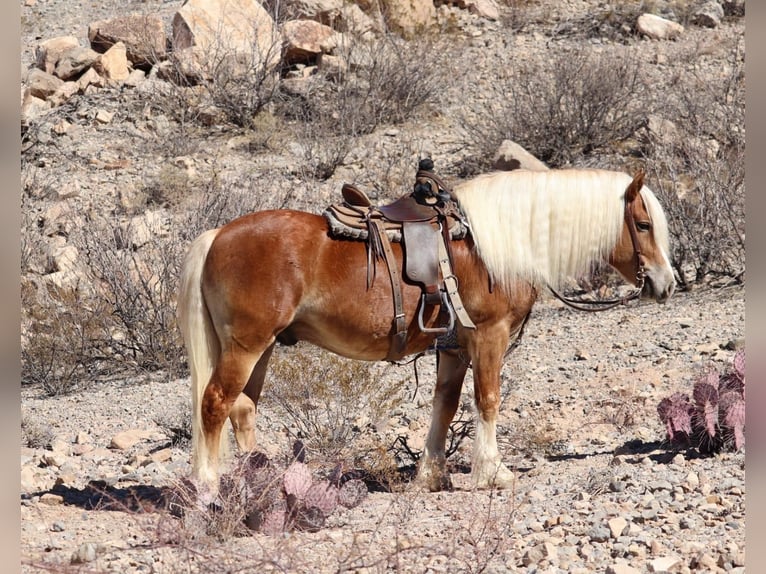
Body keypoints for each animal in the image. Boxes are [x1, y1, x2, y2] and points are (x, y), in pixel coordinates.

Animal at [177, 166, 676, 496]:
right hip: (246, 346)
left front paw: (430, 474)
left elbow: (445, 405)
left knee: (243, 410)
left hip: (260, 349)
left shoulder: (454, 347)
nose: (666, 284)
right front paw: (492, 472)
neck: (495, 244)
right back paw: (208, 488)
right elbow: (487, 400)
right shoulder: (489, 336)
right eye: (643, 224)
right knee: (215, 404)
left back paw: (257, 483)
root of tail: (218, 235)